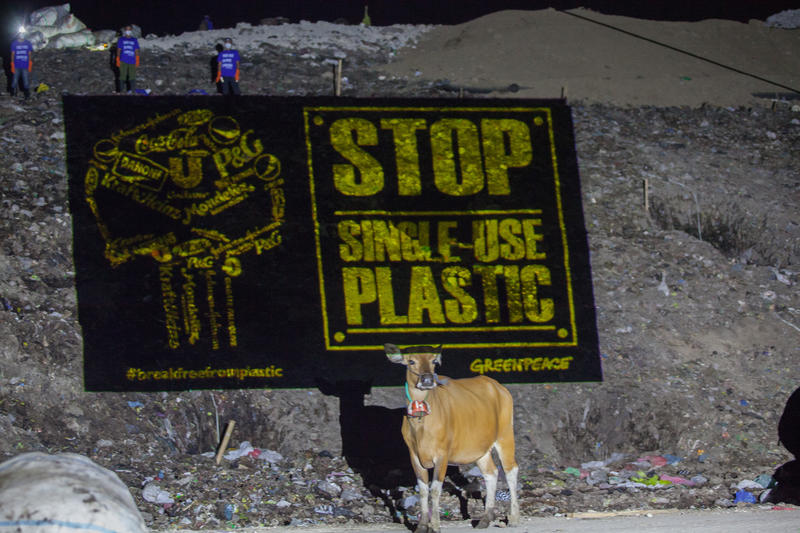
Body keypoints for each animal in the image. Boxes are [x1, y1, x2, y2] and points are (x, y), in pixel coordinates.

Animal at [386, 342, 520, 528]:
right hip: (481, 448)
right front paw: (422, 525)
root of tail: (500, 388)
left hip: (505, 434)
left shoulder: (442, 454)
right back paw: (485, 518)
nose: (427, 380)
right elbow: (423, 490)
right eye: (411, 361)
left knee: (510, 470)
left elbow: (435, 489)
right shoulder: (414, 455)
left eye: (434, 361)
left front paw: (435, 525)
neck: (421, 423)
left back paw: (513, 517)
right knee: (491, 473)